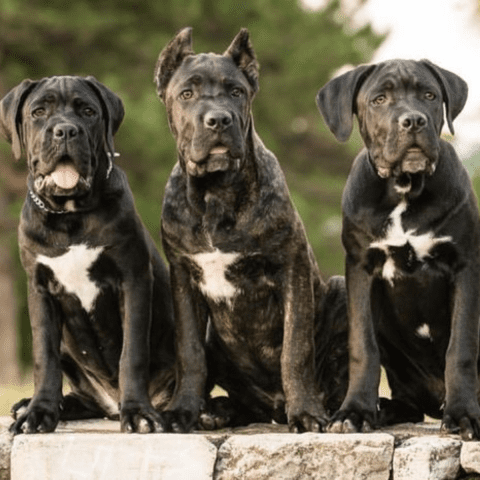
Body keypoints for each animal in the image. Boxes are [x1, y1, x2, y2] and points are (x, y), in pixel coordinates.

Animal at [0, 75, 176, 436]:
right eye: (39, 111)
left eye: (88, 111)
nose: (66, 130)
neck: (70, 216)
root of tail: (110, 404)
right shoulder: (40, 290)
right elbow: (44, 357)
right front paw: (39, 412)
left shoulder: (133, 280)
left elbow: (132, 353)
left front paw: (138, 413)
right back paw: (37, 405)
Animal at [156, 29, 346, 436]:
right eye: (186, 93)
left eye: (236, 92)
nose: (218, 119)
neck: (215, 195)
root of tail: (271, 407)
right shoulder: (182, 279)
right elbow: (189, 353)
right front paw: (182, 411)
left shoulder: (292, 270)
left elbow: (295, 350)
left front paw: (306, 413)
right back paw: (216, 412)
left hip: (338, 290)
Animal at [316, 59, 480, 438]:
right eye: (379, 99)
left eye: (429, 95)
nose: (413, 120)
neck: (404, 188)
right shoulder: (361, 269)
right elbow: (363, 347)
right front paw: (354, 411)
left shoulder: (464, 266)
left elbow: (461, 348)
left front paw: (464, 415)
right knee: (410, 404)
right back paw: (384, 409)